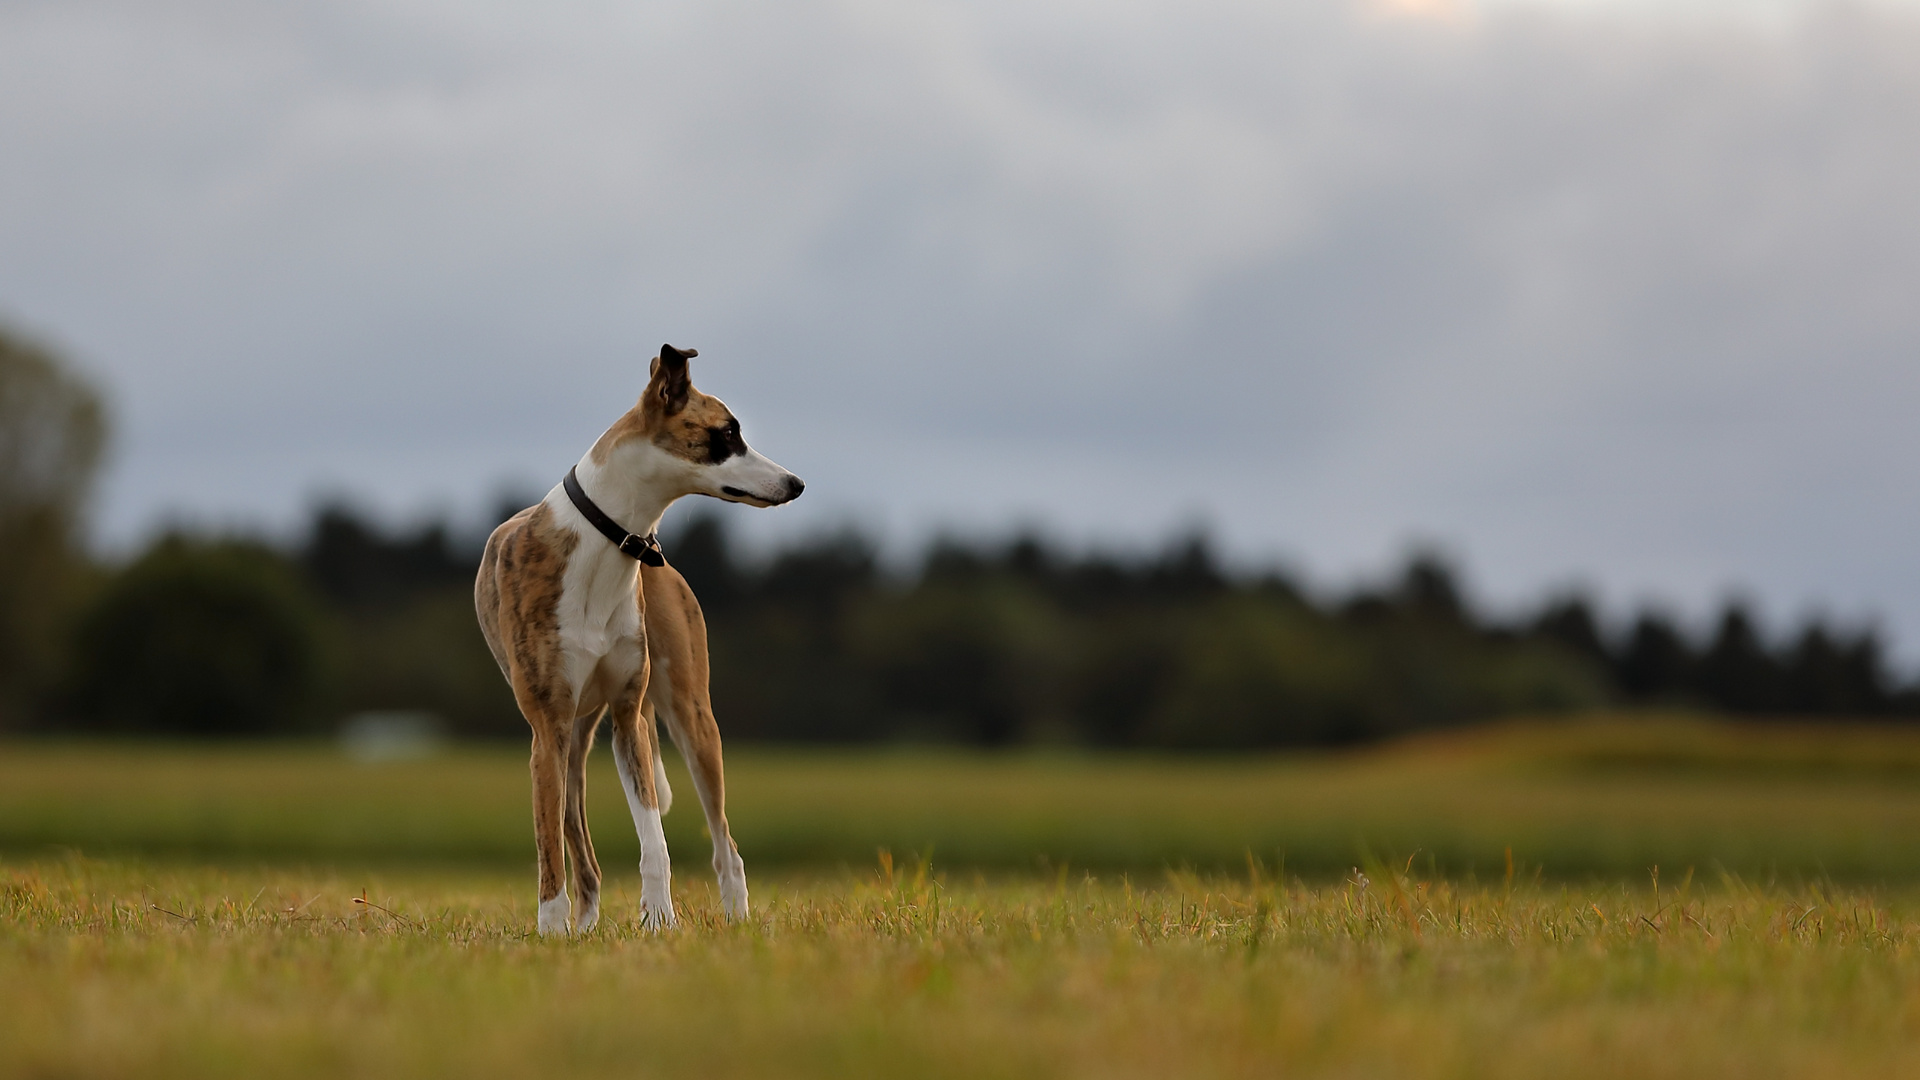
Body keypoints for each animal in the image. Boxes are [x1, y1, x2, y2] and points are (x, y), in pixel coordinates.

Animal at [480, 340, 810, 930]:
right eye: (726, 433)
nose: (797, 484)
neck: (614, 541)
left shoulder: (629, 715)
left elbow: (654, 838)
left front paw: (659, 920)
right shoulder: (548, 728)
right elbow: (549, 846)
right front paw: (550, 929)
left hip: (689, 718)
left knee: (726, 845)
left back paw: (737, 921)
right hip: (570, 745)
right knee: (579, 848)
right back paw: (581, 925)